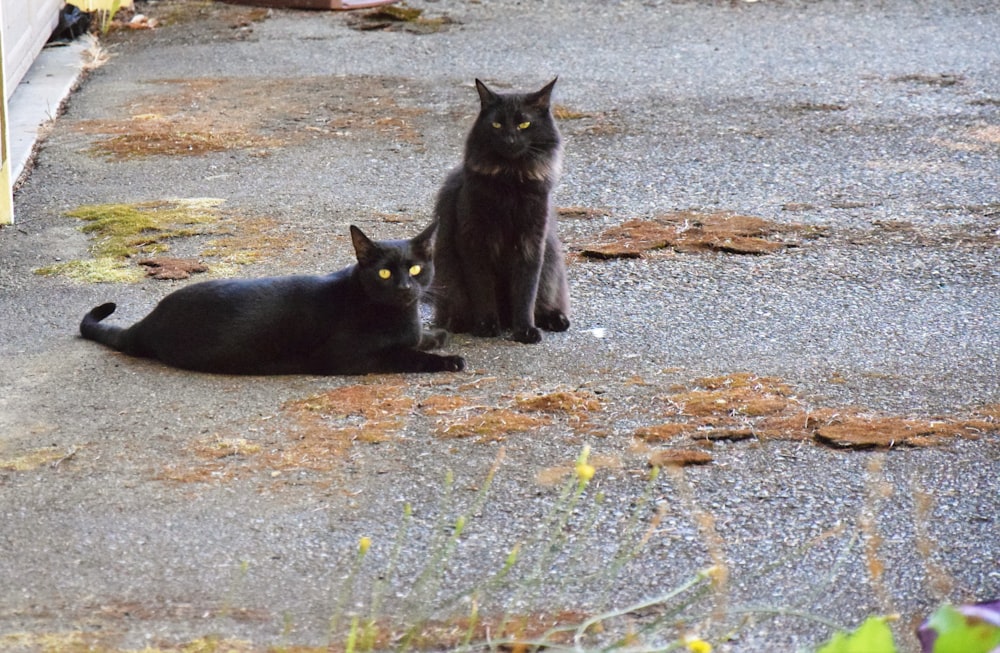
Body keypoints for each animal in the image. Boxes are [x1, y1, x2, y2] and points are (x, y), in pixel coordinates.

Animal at [80, 224, 466, 374]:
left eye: (415, 270)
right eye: (384, 274)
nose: (404, 288)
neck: (399, 315)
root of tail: (147, 322)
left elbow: (418, 340)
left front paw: (435, 336)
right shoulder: (347, 358)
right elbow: (405, 355)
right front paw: (449, 360)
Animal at [432, 78, 572, 344]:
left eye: (524, 124)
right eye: (496, 124)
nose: (510, 140)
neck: (510, 180)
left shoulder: (531, 243)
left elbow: (526, 295)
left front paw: (525, 330)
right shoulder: (474, 242)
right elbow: (483, 290)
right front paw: (487, 326)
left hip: (550, 266)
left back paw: (555, 320)